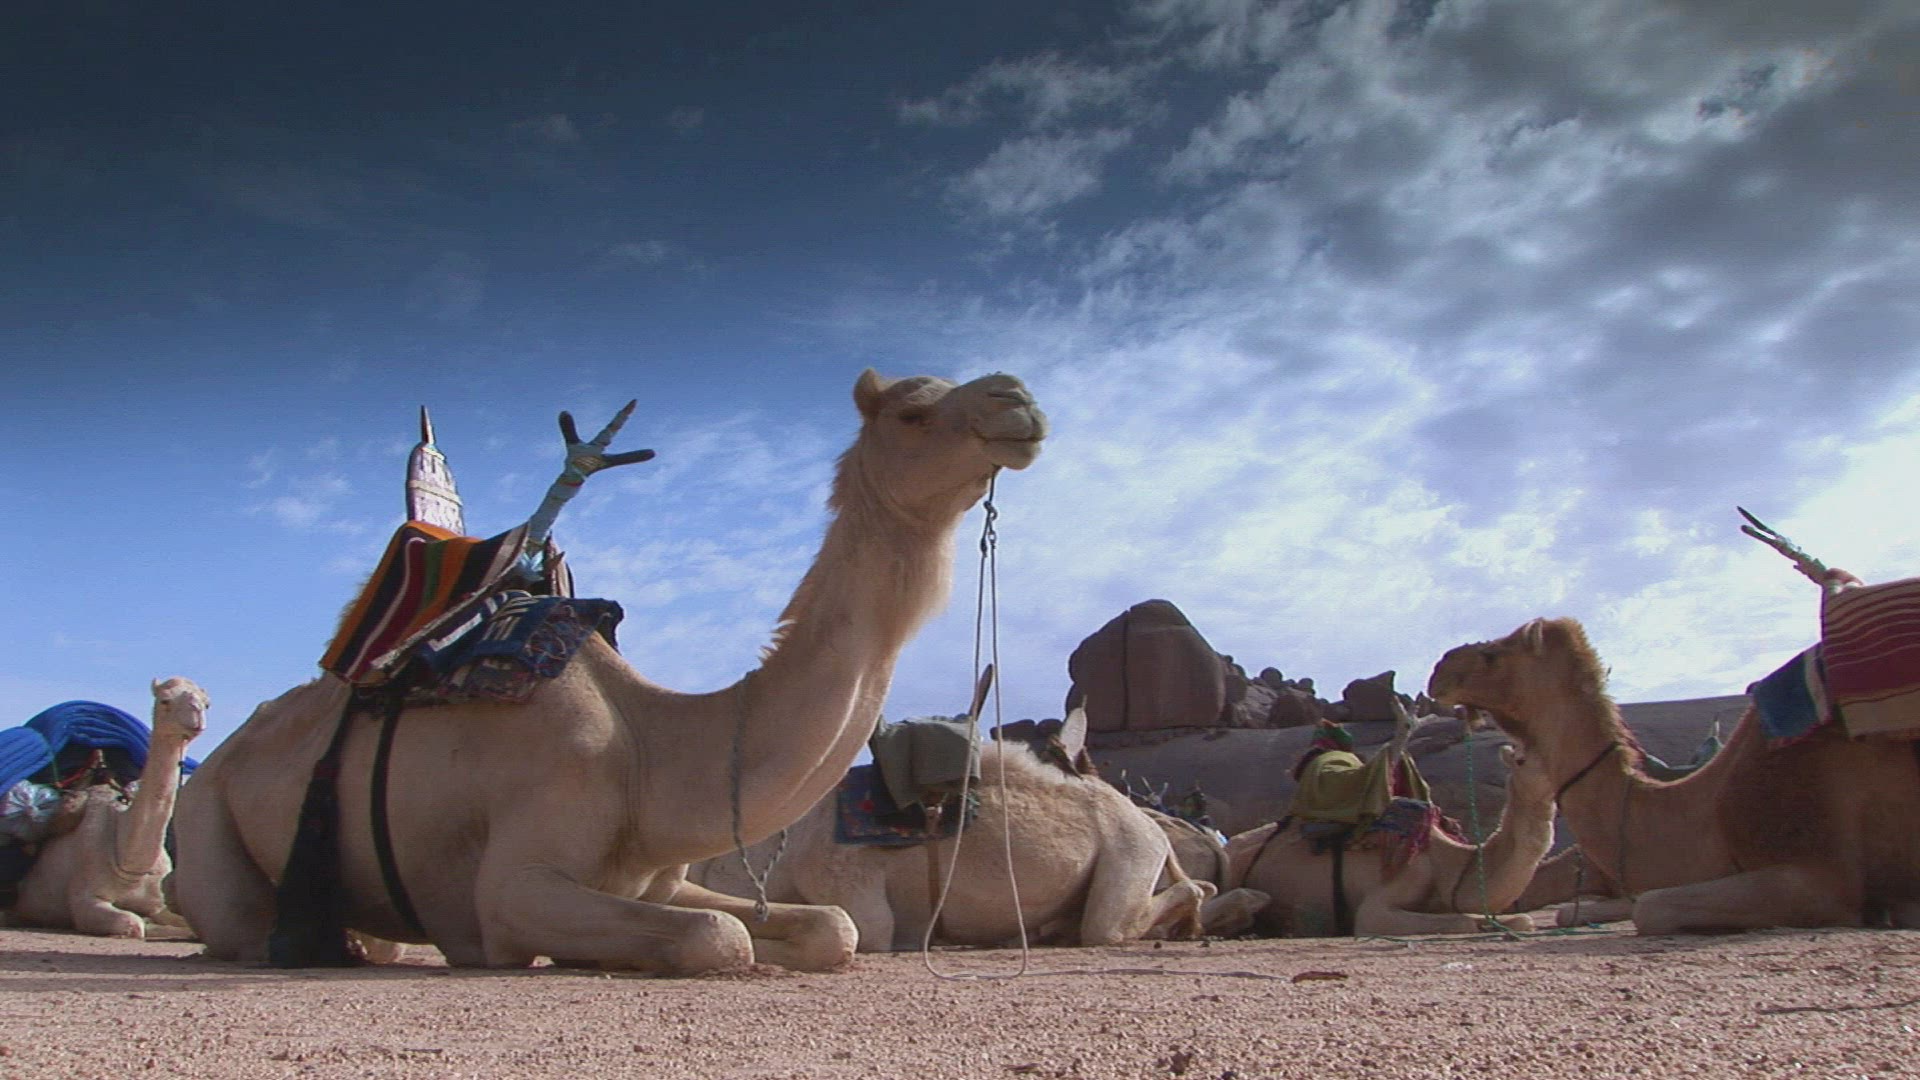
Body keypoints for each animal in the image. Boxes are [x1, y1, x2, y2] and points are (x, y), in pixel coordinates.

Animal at [10, 678, 207, 938]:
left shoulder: (158, 902)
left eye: (206, 703)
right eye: (165, 700)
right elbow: (134, 924)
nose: (196, 717)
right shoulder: (86, 899)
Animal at [170, 370, 1047, 975]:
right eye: (913, 410)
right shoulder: (511, 887)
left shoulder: (659, 878)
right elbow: (718, 938)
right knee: (235, 924)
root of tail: (220, 758)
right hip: (207, 821)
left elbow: (832, 927)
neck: (649, 751)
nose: (1018, 399)